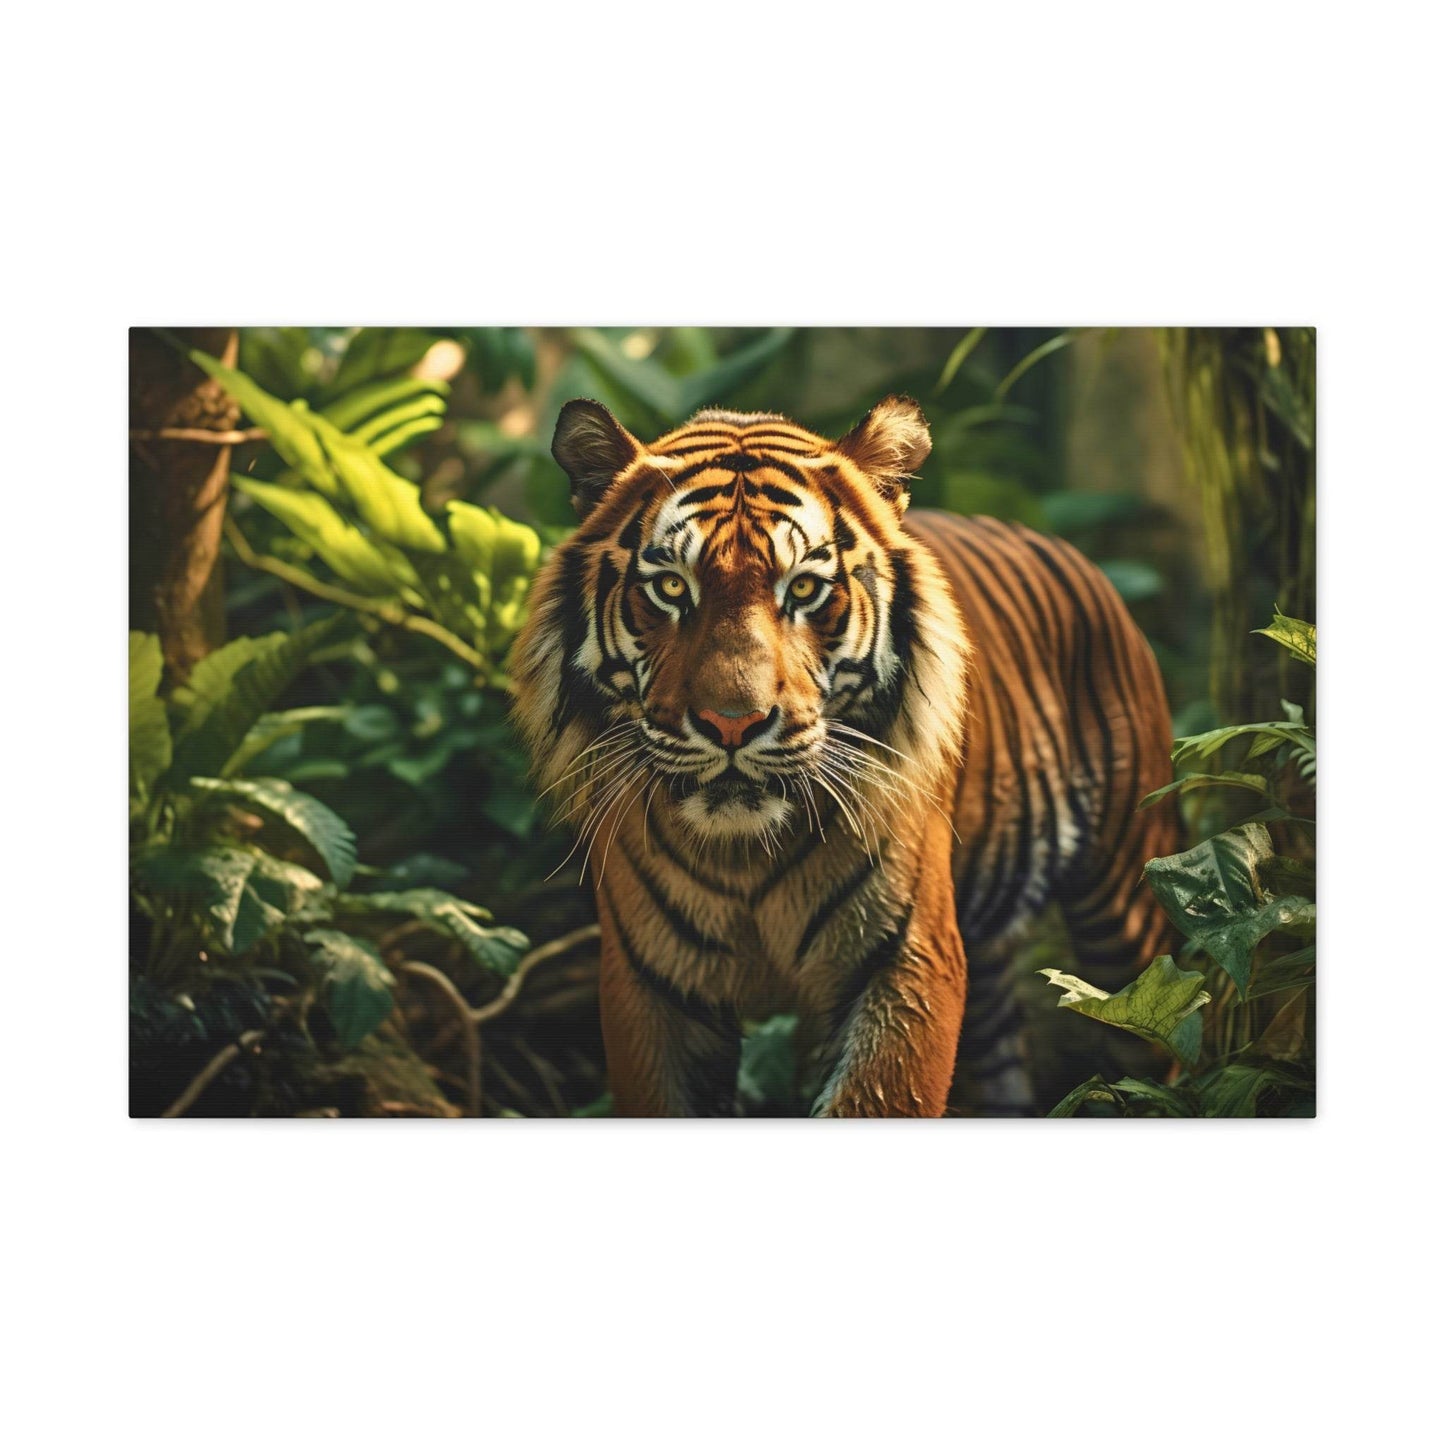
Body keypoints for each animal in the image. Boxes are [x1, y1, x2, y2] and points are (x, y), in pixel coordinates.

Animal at [511, 394, 1180, 1117]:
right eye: (669, 587)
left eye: (803, 590)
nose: (731, 723)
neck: (745, 857)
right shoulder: (651, 985)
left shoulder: (905, 960)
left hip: (1127, 908)